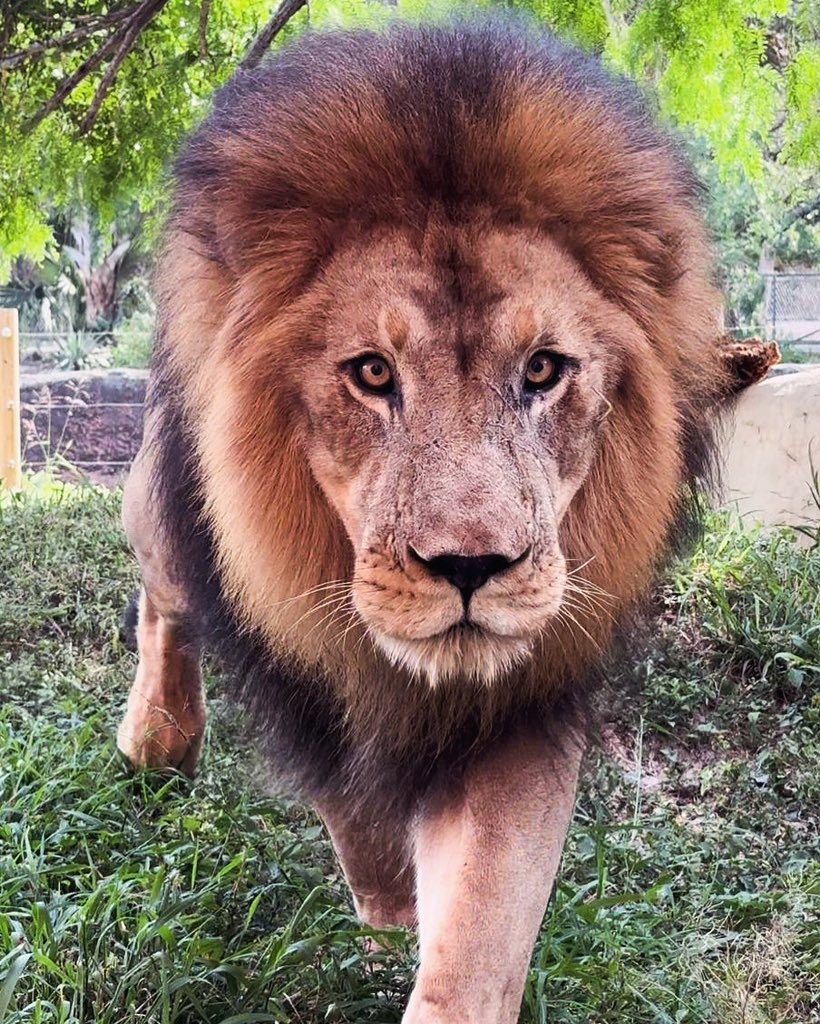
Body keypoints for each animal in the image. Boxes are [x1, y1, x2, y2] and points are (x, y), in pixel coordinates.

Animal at [116, 18, 753, 1024]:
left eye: (543, 371)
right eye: (373, 374)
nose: (469, 569)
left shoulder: (520, 701)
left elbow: (478, 937)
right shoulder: (310, 671)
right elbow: (353, 803)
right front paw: (386, 904)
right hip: (164, 503)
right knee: (163, 585)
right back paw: (158, 740)